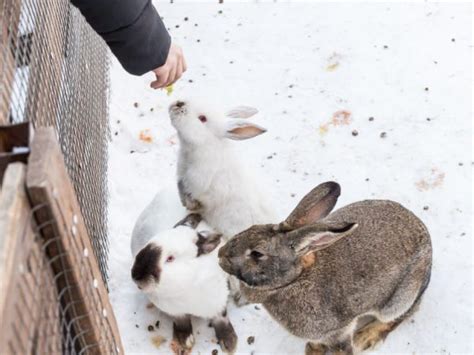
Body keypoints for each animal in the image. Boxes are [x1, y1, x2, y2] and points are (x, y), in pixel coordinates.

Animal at [168, 100, 276, 239]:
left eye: (202, 118)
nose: (179, 103)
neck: (205, 144)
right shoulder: (182, 179)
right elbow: (181, 189)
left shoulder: (199, 185)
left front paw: (190, 206)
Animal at [219, 182, 434, 354]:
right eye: (250, 228)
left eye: (257, 254)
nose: (220, 255)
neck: (295, 280)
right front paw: (312, 351)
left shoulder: (338, 332)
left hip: (399, 297)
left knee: (400, 315)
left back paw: (365, 338)